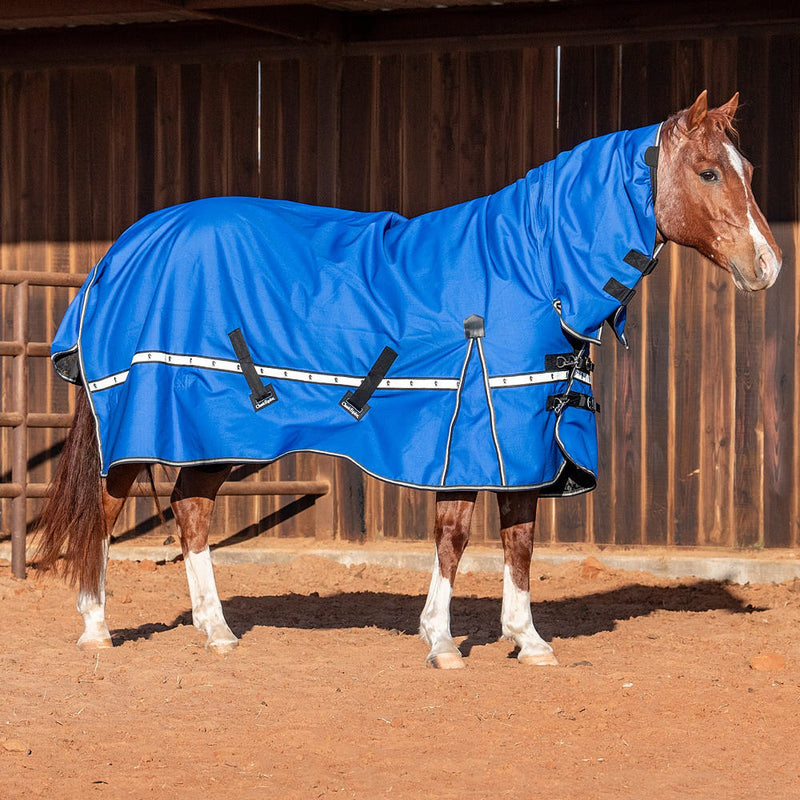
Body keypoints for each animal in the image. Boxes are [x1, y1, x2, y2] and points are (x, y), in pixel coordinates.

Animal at [35, 91, 781, 668]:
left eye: (748, 168)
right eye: (708, 172)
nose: (768, 267)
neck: (529, 268)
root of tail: (121, 252)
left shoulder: (529, 436)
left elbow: (520, 539)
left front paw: (528, 641)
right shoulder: (472, 429)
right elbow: (455, 537)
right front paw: (443, 644)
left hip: (215, 433)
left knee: (190, 511)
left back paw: (216, 631)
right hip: (139, 424)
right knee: (106, 510)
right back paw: (97, 629)